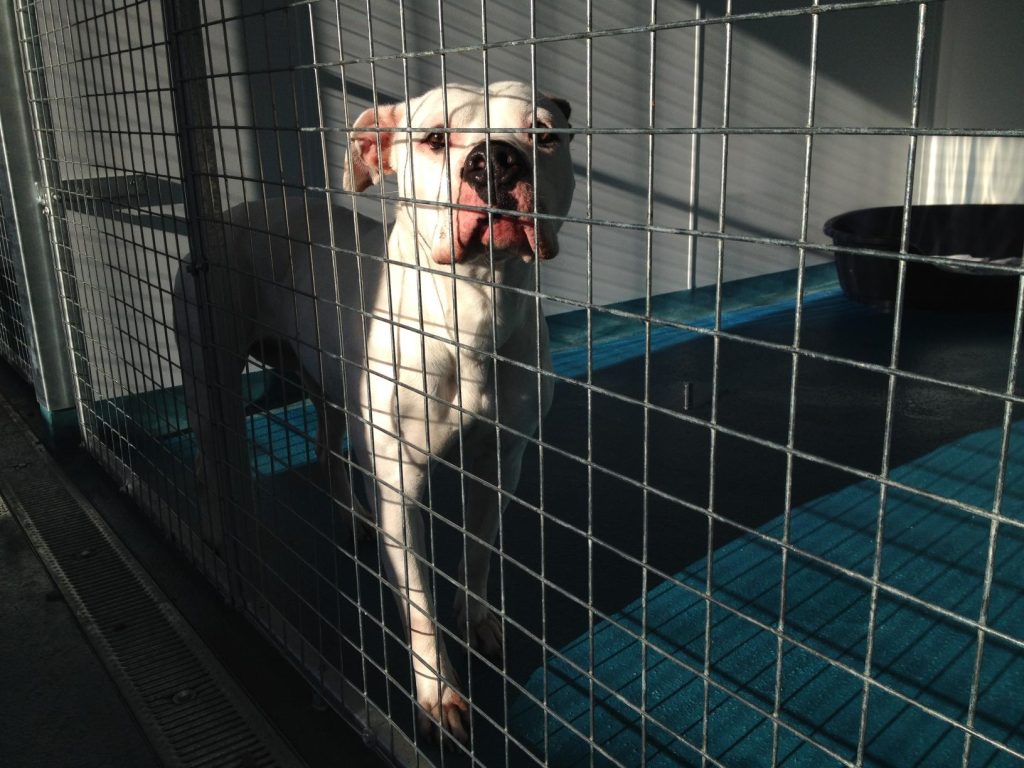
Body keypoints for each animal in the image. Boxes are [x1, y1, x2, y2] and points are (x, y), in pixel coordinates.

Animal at [176, 81, 577, 741]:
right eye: (436, 137)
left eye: (542, 134)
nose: (495, 161)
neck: (473, 308)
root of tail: (232, 213)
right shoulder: (400, 487)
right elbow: (418, 605)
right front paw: (439, 693)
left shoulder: (502, 461)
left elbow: (478, 551)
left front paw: (478, 620)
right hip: (212, 372)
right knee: (211, 453)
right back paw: (213, 529)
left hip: (327, 384)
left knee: (325, 447)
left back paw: (351, 516)